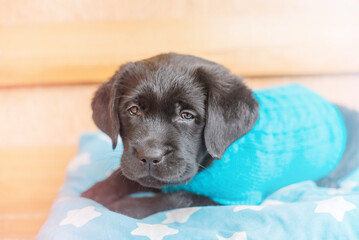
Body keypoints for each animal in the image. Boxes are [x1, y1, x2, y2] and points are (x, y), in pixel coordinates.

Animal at [81, 52, 359, 219]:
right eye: (133, 111)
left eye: (187, 116)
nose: (150, 156)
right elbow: (126, 175)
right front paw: (94, 193)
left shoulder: (234, 199)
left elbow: (179, 197)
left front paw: (124, 206)